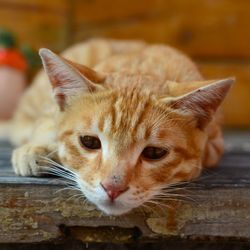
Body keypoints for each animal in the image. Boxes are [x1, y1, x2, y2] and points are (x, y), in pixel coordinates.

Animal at [8, 39, 233, 215]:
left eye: (154, 152)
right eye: (89, 142)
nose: (112, 189)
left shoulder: (215, 144)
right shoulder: (49, 112)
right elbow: (48, 122)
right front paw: (37, 147)